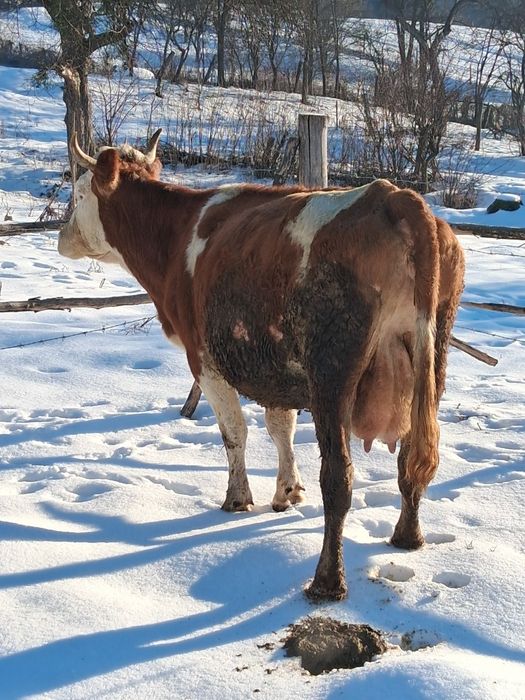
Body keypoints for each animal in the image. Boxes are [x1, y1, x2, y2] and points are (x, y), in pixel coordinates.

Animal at [58, 131, 465, 601]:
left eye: (79, 192)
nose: (61, 236)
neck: (177, 235)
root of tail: (396, 197)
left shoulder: (204, 359)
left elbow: (235, 433)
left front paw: (238, 498)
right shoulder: (276, 365)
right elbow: (280, 427)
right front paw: (286, 492)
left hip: (331, 377)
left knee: (339, 479)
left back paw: (326, 581)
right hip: (430, 365)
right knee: (414, 461)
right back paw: (407, 536)